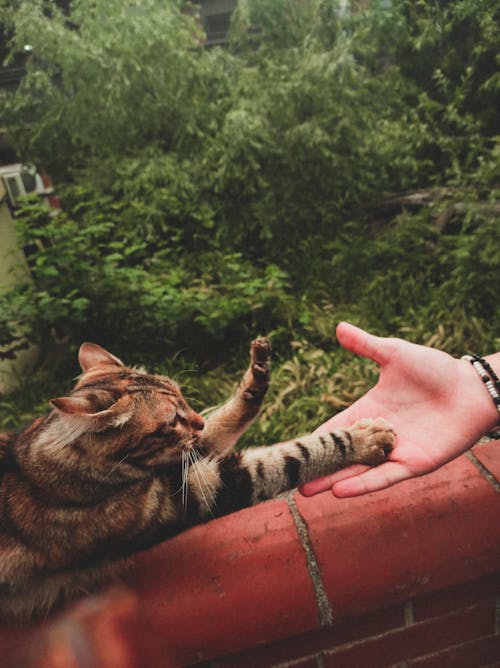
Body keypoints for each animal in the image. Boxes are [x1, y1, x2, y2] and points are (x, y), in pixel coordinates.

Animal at [0, 340, 394, 620]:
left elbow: (225, 419)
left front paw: (256, 375)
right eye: (170, 420)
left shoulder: (191, 456)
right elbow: (294, 455)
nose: (197, 422)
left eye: (182, 396)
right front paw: (365, 439)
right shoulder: (206, 487)